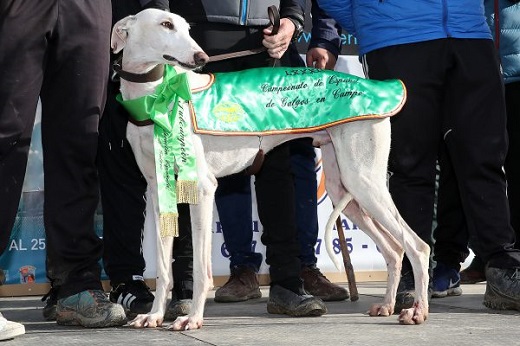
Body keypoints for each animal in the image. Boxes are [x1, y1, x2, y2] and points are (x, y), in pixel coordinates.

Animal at [110, 6, 430, 328]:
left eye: (187, 29)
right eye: (166, 24)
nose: (201, 57)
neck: (154, 96)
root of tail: (383, 87)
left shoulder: (202, 187)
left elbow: (201, 268)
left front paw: (193, 318)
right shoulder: (158, 189)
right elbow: (164, 269)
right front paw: (154, 315)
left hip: (363, 180)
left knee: (417, 246)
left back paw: (417, 310)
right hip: (346, 191)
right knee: (395, 249)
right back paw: (387, 305)